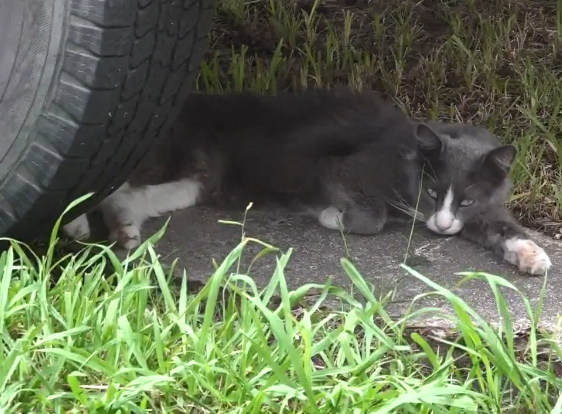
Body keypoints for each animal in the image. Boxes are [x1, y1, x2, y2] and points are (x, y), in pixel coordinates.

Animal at [63, 88, 548, 274]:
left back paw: (122, 229)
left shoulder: (484, 209)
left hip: (195, 182)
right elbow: (370, 216)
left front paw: (532, 254)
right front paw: (333, 216)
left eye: (465, 202)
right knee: (110, 184)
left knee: (129, 197)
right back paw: (76, 223)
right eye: (432, 192)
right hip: (171, 155)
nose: (443, 226)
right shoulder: (341, 169)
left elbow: (500, 225)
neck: (407, 161)